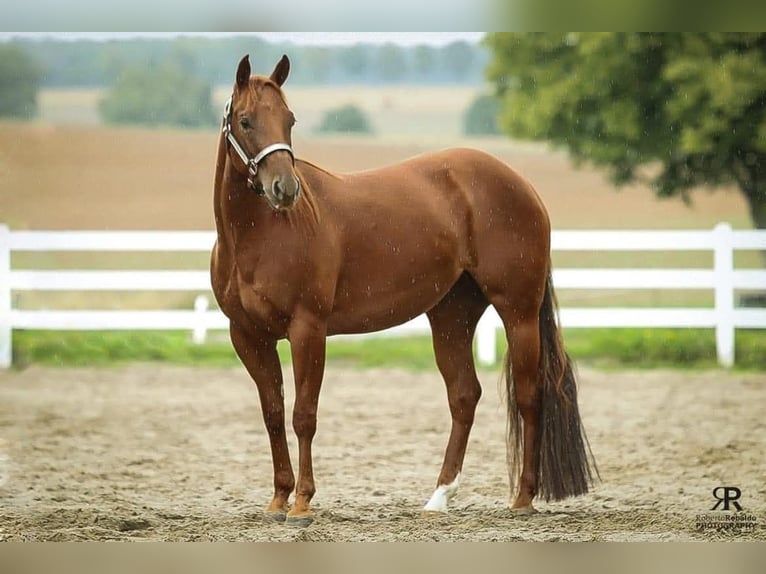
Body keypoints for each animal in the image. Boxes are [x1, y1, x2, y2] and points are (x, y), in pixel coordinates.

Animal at [210, 54, 597, 526]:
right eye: (246, 121)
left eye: (290, 119)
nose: (285, 189)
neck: (258, 238)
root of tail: (522, 186)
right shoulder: (248, 336)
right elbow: (272, 413)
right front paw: (278, 499)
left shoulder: (308, 330)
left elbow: (303, 416)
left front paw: (302, 503)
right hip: (451, 316)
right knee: (464, 396)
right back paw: (439, 497)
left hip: (518, 312)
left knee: (529, 395)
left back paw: (522, 499)